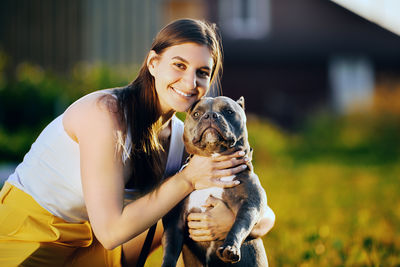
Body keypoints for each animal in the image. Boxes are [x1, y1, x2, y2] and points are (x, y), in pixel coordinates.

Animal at [161, 97, 268, 267]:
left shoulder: (251, 204)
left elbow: (240, 224)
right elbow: (170, 249)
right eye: (197, 113)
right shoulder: (174, 221)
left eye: (229, 111)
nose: (211, 115)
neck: (214, 158)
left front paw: (230, 247)